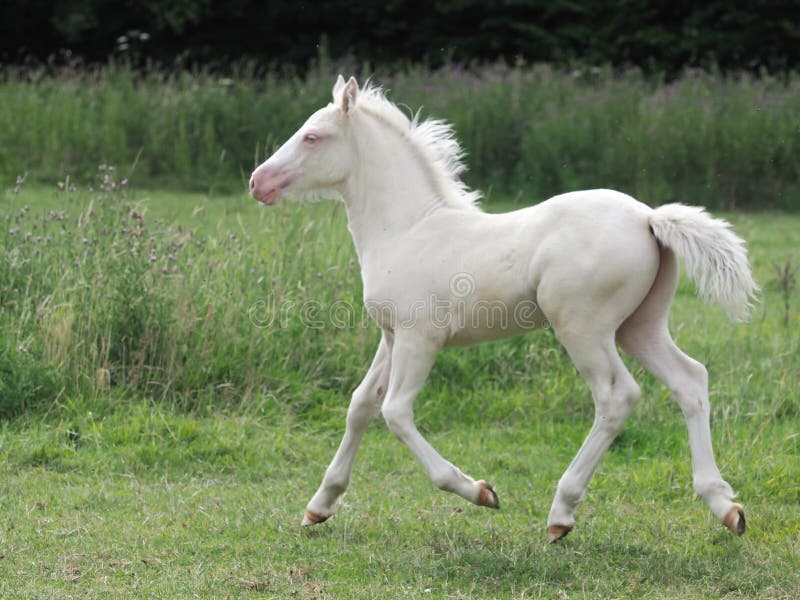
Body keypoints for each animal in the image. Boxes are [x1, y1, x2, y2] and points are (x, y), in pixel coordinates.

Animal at [248, 74, 756, 540]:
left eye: (313, 136)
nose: (257, 182)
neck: (407, 229)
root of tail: (649, 217)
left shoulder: (419, 337)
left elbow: (395, 413)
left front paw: (480, 491)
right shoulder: (391, 336)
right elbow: (361, 405)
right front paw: (319, 506)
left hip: (583, 329)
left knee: (617, 397)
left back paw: (561, 513)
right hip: (639, 326)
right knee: (690, 380)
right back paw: (725, 507)